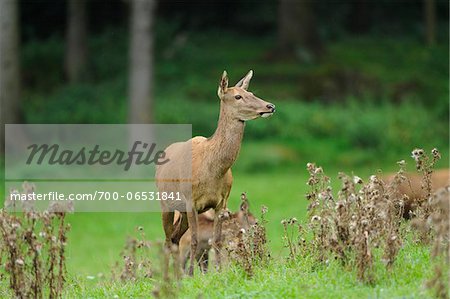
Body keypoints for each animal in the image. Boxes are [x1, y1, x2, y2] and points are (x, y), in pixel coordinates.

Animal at [155, 70, 274, 276]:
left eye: (251, 93)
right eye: (237, 96)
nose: (270, 106)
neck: (212, 170)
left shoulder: (221, 202)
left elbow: (217, 241)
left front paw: (218, 272)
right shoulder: (191, 201)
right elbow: (195, 241)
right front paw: (192, 275)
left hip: (182, 212)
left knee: (174, 238)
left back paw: (177, 275)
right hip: (165, 202)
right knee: (168, 240)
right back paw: (171, 275)